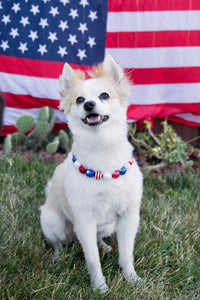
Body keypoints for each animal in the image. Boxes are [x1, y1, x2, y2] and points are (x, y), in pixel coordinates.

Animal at [39, 54, 143, 292]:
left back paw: (104, 246)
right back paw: (58, 258)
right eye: (79, 100)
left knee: (97, 239)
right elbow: (93, 260)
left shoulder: (128, 217)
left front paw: (131, 279)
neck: (102, 148)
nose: (89, 104)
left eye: (104, 95)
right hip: (53, 222)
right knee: (58, 243)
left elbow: (127, 254)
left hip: (107, 226)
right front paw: (100, 288)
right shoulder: (84, 220)